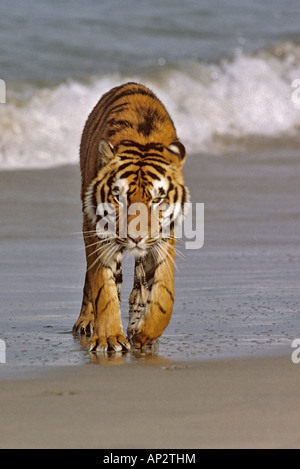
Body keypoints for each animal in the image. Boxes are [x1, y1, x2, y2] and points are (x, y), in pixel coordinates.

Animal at [72, 81, 189, 352]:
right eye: (120, 197)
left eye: (156, 200)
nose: (135, 238)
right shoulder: (97, 231)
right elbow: (103, 288)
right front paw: (109, 337)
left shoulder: (163, 237)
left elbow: (164, 293)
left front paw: (145, 333)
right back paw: (86, 322)